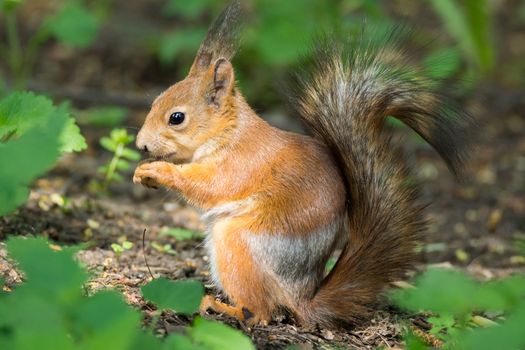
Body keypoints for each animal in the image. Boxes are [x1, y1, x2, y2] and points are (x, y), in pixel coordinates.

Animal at [132, 2, 470, 328]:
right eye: (155, 101)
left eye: (177, 118)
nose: (141, 145)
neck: (228, 132)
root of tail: (301, 296)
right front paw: (142, 172)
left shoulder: (241, 163)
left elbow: (211, 184)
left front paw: (157, 171)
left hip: (237, 243)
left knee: (261, 312)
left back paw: (222, 307)